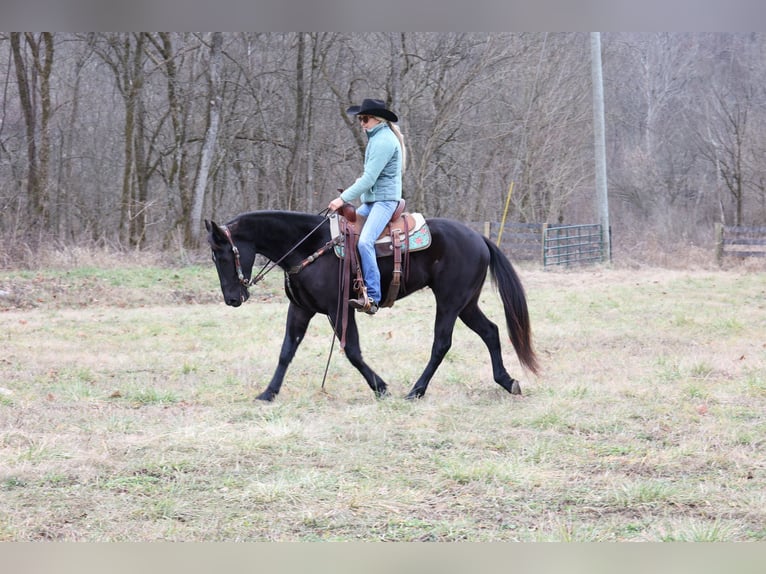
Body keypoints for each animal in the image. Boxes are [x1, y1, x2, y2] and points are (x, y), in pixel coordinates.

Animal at [206, 209, 540, 402]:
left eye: (222, 255)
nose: (232, 299)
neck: (309, 245)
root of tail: (479, 238)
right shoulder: (301, 309)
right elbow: (287, 351)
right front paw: (268, 393)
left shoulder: (338, 309)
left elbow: (352, 350)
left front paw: (380, 387)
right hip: (466, 303)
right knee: (491, 332)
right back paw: (507, 381)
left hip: (449, 301)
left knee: (442, 343)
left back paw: (416, 390)